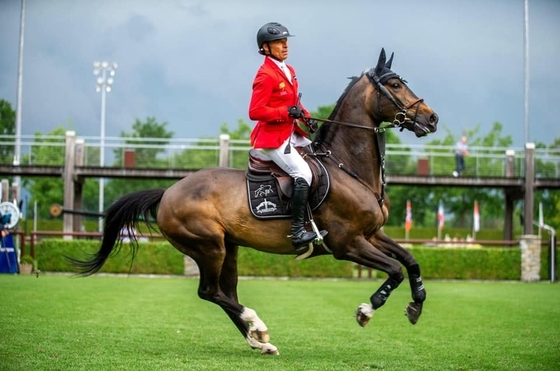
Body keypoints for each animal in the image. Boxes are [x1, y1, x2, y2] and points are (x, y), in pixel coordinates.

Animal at [71, 48, 438, 356]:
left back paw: (259, 340)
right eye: (394, 84)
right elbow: (394, 270)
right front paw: (367, 309)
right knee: (210, 292)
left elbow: (410, 261)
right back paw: (257, 325)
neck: (347, 167)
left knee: (225, 293)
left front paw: (416, 305)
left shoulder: (373, 234)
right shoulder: (346, 243)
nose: (431, 118)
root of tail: (168, 192)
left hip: (228, 248)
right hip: (208, 246)